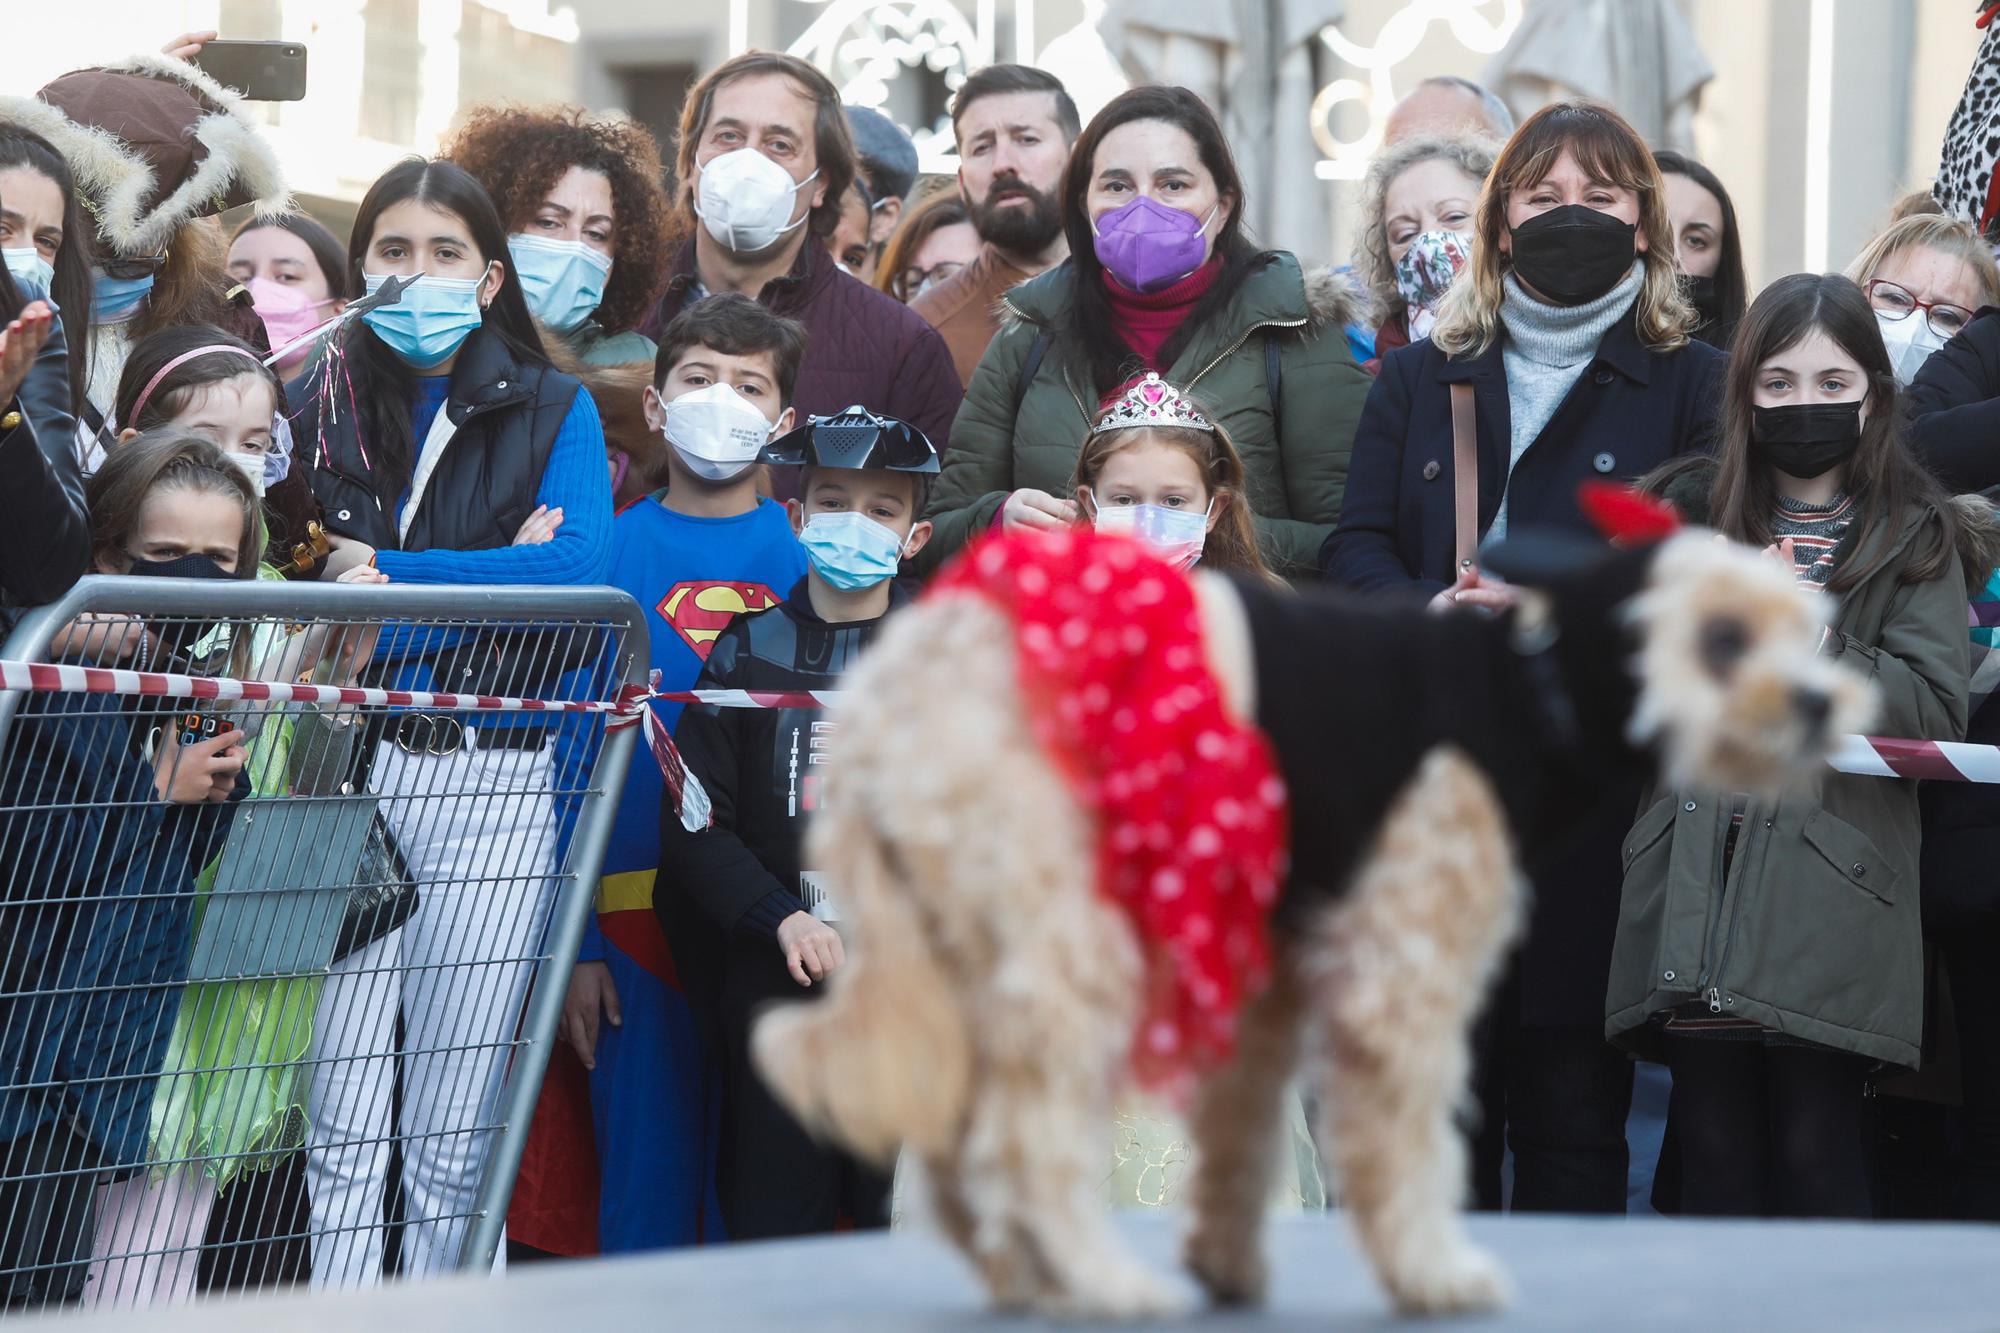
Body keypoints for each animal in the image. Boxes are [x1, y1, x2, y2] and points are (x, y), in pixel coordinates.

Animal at [752, 512, 1872, 1312]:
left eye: (1799, 623)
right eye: (1721, 637)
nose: (1825, 701)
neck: (1527, 691)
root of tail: (886, 698)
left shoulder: (1272, 971)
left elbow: (1241, 1133)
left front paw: (1227, 1260)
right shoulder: (1402, 966)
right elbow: (1406, 1137)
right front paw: (1429, 1272)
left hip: (961, 948)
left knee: (957, 1148)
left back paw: (1032, 1279)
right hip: (1065, 946)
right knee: (1022, 1138)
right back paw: (1101, 1281)